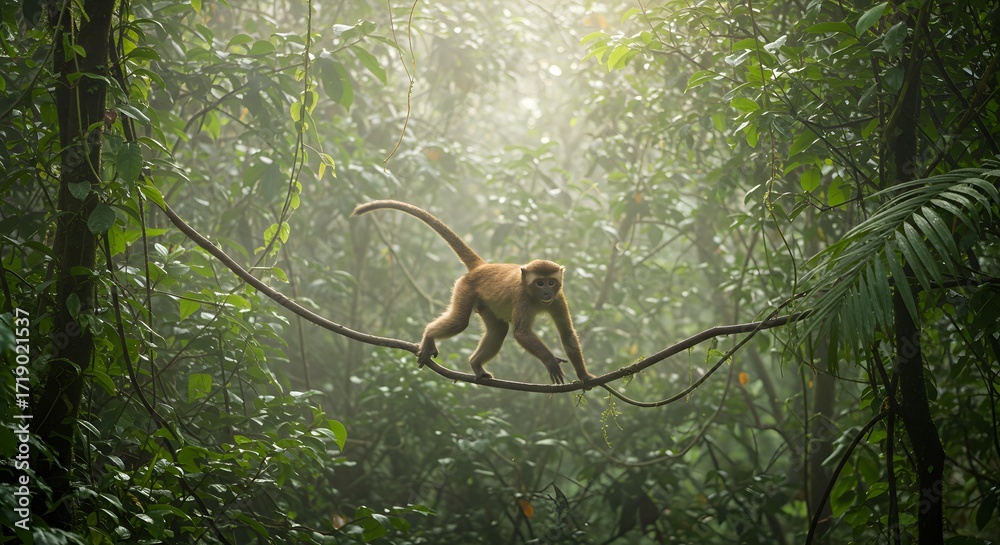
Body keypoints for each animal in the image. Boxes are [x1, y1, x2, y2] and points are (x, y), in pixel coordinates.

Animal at [352, 200, 596, 385]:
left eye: (551, 282)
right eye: (539, 283)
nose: (546, 293)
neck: (534, 297)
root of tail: (483, 267)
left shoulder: (559, 299)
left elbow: (567, 335)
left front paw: (584, 376)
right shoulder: (523, 298)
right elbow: (522, 333)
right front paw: (550, 361)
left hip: (485, 303)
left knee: (498, 330)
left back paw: (476, 365)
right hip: (465, 289)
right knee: (460, 321)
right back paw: (429, 336)